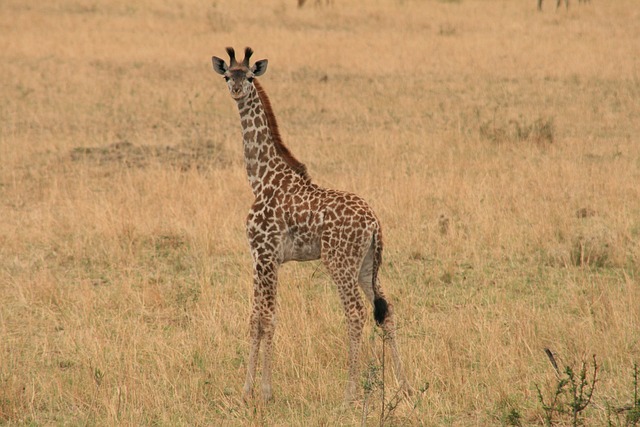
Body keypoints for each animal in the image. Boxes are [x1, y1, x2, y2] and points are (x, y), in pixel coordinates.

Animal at [211, 47, 410, 404]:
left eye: (249, 77)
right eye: (227, 76)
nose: (236, 90)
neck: (260, 179)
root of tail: (375, 222)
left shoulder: (265, 256)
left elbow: (266, 318)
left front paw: (264, 391)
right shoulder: (260, 259)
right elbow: (255, 318)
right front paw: (249, 390)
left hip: (339, 263)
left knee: (356, 312)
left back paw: (349, 393)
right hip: (366, 265)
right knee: (386, 311)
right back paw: (404, 387)